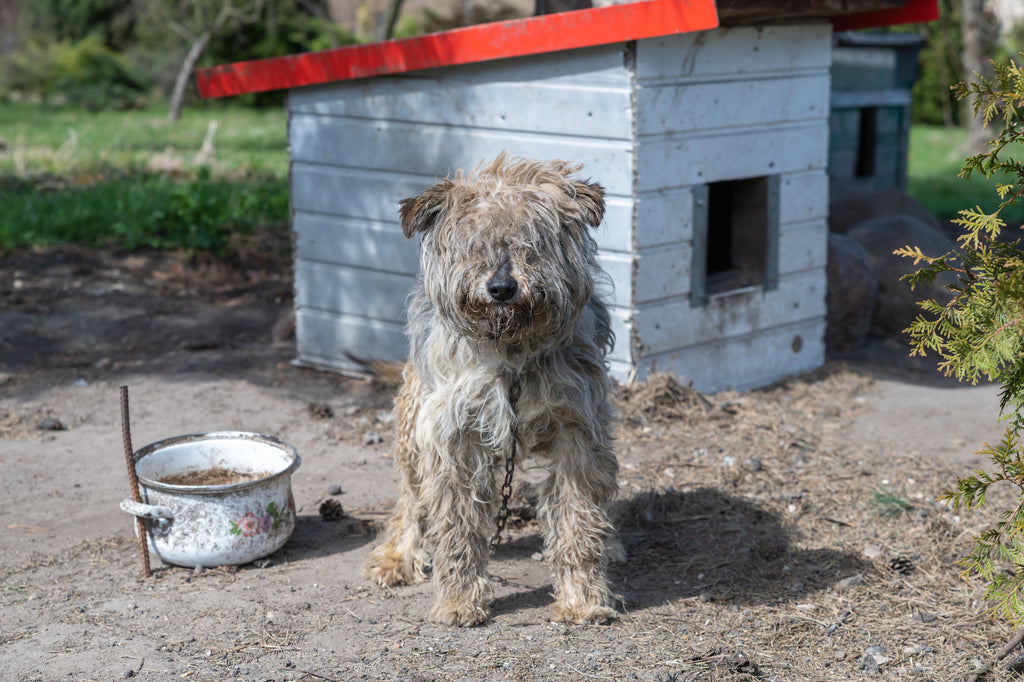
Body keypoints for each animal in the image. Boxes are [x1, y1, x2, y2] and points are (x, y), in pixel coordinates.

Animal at [368, 151, 622, 622]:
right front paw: (458, 599)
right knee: (410, 499)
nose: (501, 287)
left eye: (533, 240)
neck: (512, 353)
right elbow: (457, 525)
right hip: (412, 422)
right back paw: (398, 555)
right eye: (474, 243)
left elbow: (578, 519)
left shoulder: (578, 430)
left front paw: (583, 598)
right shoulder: (454, 434)